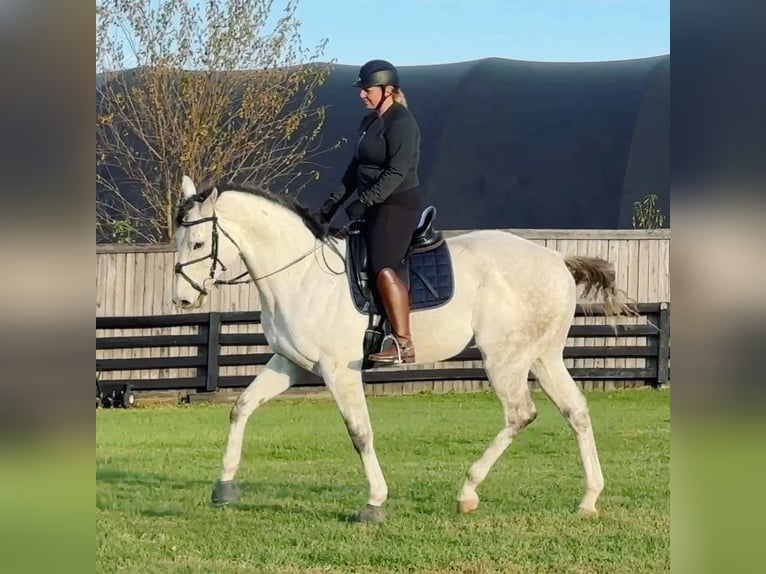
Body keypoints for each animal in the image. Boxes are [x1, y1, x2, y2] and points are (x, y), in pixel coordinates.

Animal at [174, 178, 636, 524]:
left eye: (196, 244)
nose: (182, 299)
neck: (301, 273)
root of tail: (557, 260)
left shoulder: (338, 370)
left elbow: (359, 432)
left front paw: (374, 503)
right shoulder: (290, 363)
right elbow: (242, 407)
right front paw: (224, 486)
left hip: (505, 359)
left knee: (519, 414)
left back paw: (468, 491)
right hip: (543, 357)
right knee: (576, 411)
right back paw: (589, 499)